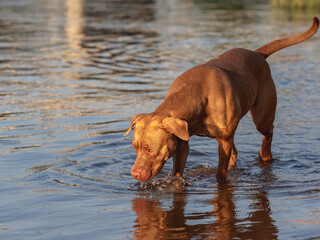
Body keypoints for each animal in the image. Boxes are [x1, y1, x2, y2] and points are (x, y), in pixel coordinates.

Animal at [124, 17, 318, 181]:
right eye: (134, 147)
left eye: (149, 148)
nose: (134, 173)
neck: (196, 96)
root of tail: (257, 54)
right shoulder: (181, 142)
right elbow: (177, 171)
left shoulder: (223, 141)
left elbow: (220, 173)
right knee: (236, 151)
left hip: (262, 115)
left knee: (267, 133)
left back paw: (265, 155)